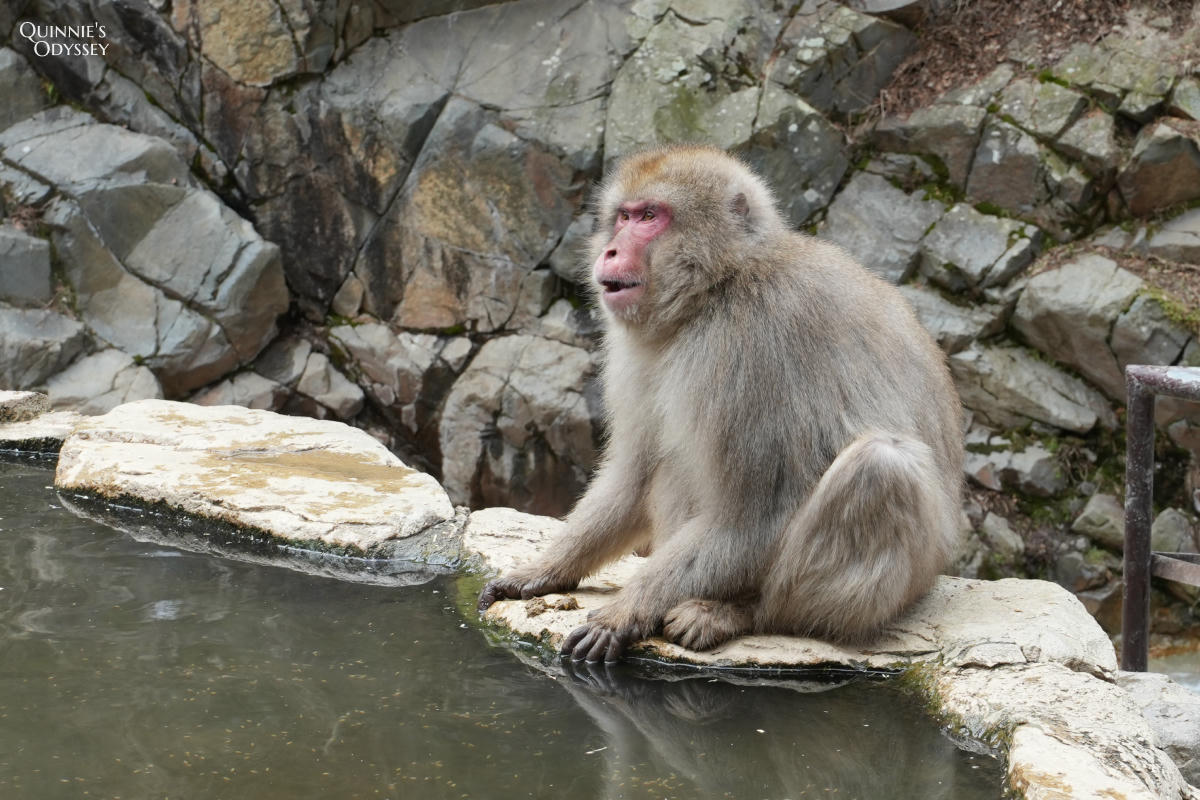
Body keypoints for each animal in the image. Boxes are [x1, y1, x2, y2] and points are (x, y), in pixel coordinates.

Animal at [478, 145, 964, 663]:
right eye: (624, 216)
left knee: (880, 466)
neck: (718, 287)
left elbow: (750, 517)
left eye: (650, 217)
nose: (610, 250)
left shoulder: (745, 348)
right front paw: (542, 570)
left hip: (903, 584)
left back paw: (743, 612)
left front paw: (626, 610)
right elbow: (635, 473)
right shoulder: (638, 352)